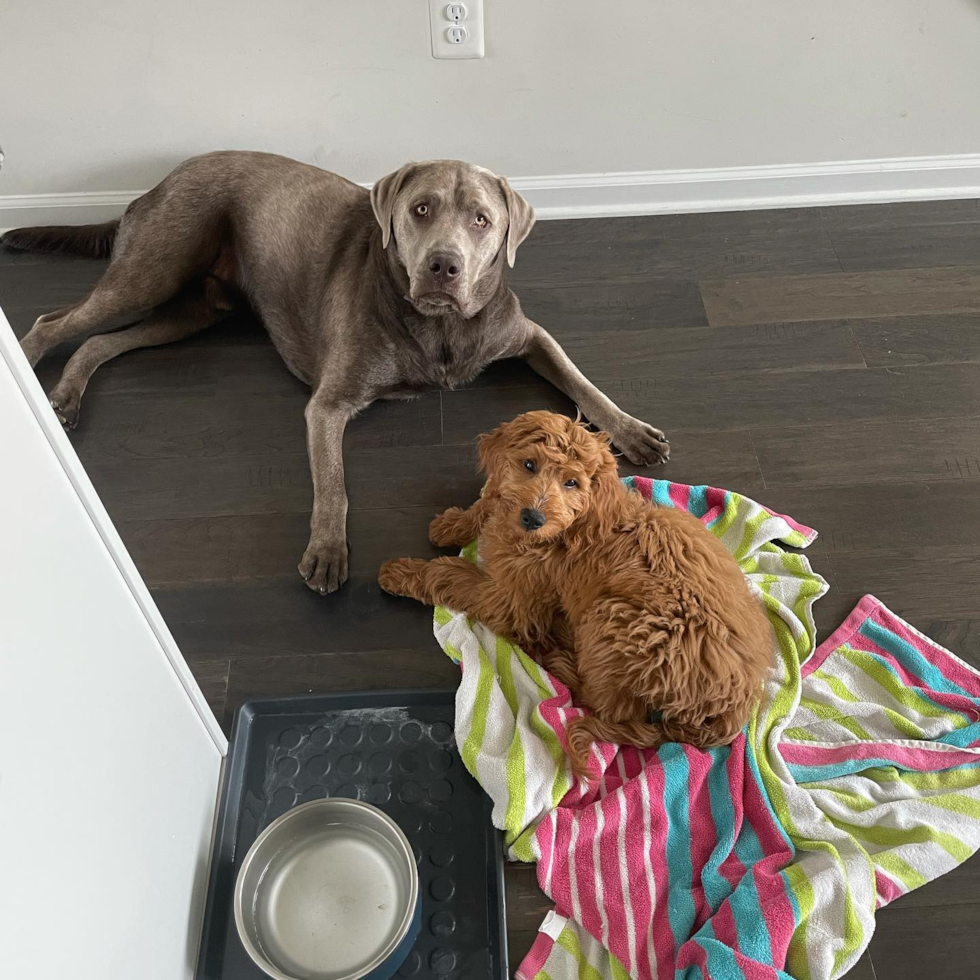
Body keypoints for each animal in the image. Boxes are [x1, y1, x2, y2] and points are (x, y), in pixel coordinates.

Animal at [0, 152, 668, 592]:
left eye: (481, 220)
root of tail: (150, 187)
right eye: (420, 210)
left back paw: (65, 395)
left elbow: (581, 381)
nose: (444, 266)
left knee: (99, 342)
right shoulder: (328, 403)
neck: (441, 329)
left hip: (193, 309)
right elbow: (333, 482)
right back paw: (35, 376)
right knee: (53, 319)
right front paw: (326, 550)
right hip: (156, 268)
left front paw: (631, 431)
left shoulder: (524, 335)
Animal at [380, 410, 772, 776]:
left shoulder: (511, 602)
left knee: (610, 707)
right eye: (529, 464)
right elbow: (489, 501)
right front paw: (452, 524)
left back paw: (560, 659)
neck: (572, 528)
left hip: (613, 620)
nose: (533, 518)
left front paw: (402, 572)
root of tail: (734, 705)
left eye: (572, 483)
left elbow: (453, 576)